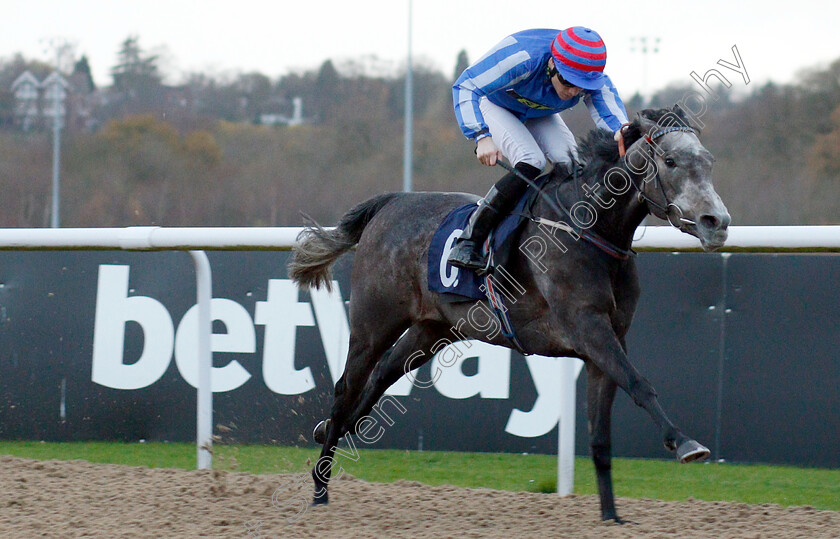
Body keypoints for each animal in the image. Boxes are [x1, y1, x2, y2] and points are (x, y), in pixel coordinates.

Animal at [288, 105, 728, 524]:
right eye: (670, 161)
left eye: (708, 161)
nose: (717, 223)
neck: (588, 228)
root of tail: (391, 201)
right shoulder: (588, 329)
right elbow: (640, 384)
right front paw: (686, 443)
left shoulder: (607, 342)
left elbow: (600, 434)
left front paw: (611, 515)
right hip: (373, 321)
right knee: (346, 388)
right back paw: (320, 487)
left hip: (432, 329)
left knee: (380, 378)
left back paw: (331, 433)